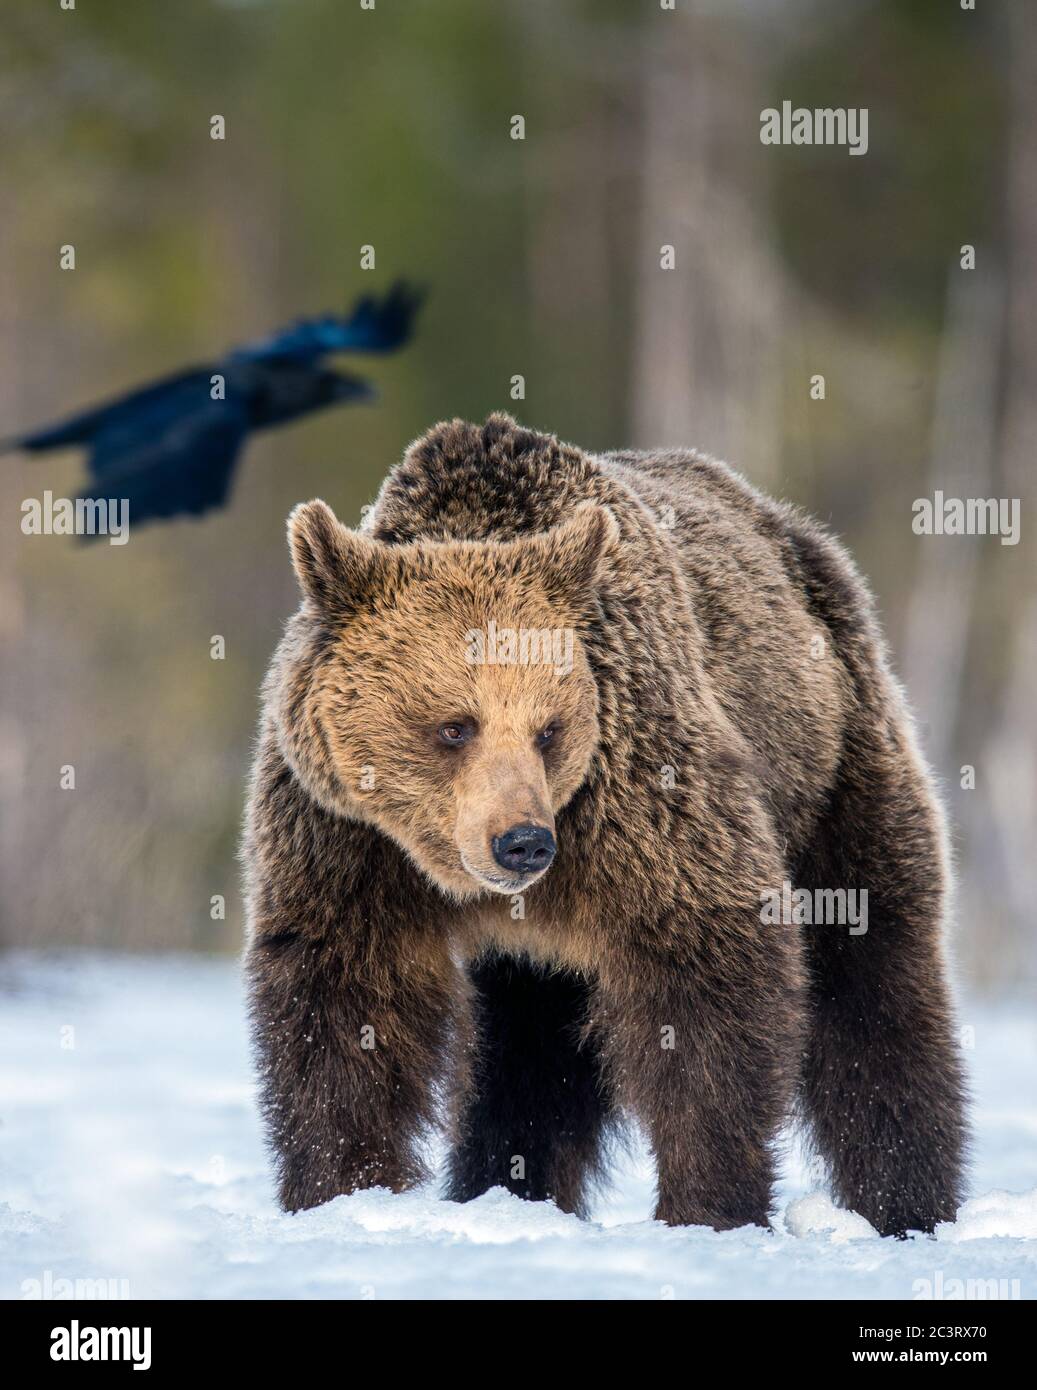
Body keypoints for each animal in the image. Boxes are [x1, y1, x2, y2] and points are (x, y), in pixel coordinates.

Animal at [240, 405, 961, 1234]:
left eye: (549, 728)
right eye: (454, 726)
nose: (521, 843)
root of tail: (794, 531)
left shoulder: (642, 806)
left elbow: (707, 988)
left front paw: (707, 1204)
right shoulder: (344, 840)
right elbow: (345, 1003)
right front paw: (341, 1191)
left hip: (833, 765)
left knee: (874, 980)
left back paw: (905, 1201)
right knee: (526, 1048)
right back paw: (502, 1187)